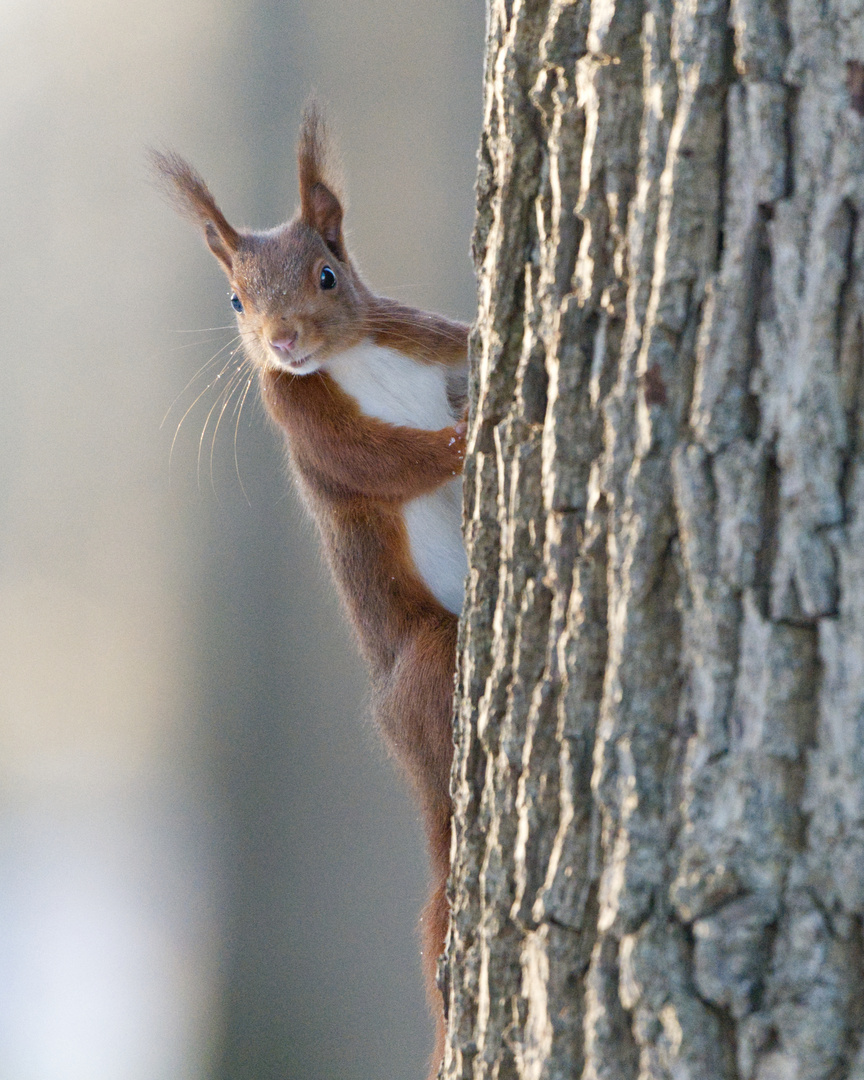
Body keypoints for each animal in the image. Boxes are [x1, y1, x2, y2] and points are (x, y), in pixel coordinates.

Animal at [152, 105, 468, 1075]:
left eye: (327, 274)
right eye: (236, 301)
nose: (283, 343)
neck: (356, 356)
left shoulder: (430, 337)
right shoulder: (307, 427)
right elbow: (381, 462)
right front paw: (461, 442)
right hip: (425, 665)